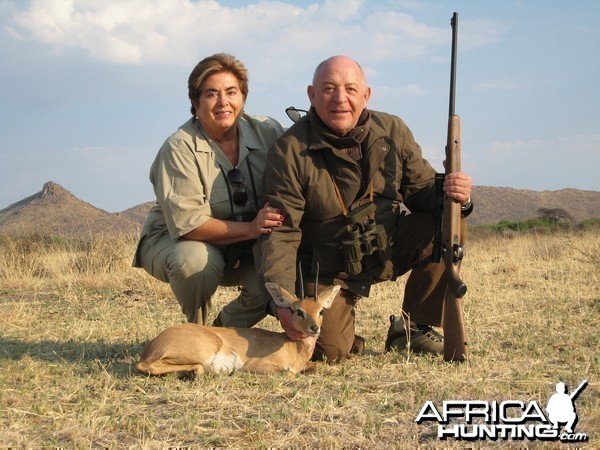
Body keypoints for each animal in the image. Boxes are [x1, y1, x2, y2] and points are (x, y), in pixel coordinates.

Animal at [138, 284, 340, 376]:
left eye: (321, 311)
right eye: (298, 311)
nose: (314, 328)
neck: (293, 347)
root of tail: (154, 344)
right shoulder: (257, 365)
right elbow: (288, 372)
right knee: (144, 365)